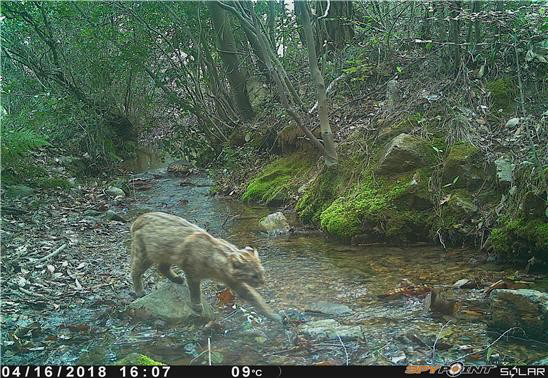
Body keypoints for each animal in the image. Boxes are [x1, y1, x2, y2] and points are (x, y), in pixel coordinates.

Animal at [130, 213, 282, 322]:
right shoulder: (192, 272)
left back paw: (176, 279)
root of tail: (140, 218)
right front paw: (197, 306)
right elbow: (195, 291)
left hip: (165, 254)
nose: (263, 281)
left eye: (262, 272)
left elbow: (255, 299)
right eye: (254, 275)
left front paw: (274, 316)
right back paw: (139, 290)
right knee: (135, 271)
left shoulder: (235, 282)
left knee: (161, 268)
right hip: (145, 254)